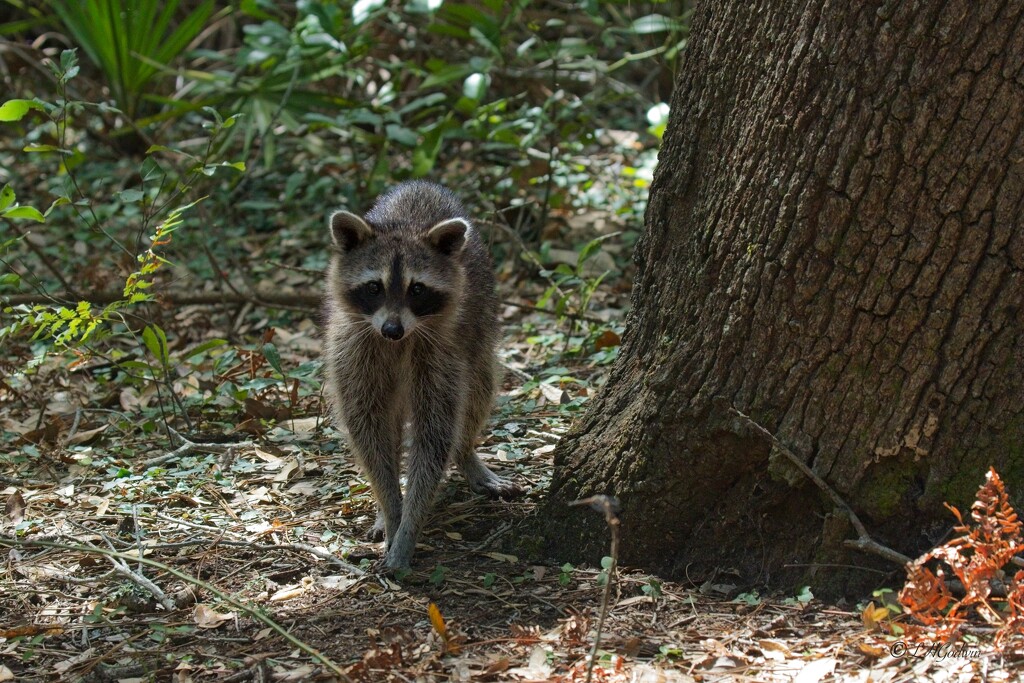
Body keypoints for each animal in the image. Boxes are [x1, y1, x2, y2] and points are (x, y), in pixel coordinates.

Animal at [323, 179, 524, 569]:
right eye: (374, 287)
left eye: (417, 289)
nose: (392, 330)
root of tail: (420, 184)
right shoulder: (354, 348)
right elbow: (367, 429)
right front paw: (391, 510)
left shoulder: (441, 350)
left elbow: (435, 434)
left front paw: (408, 527)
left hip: (478, 330)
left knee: (478, 390)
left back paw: (466, 453)